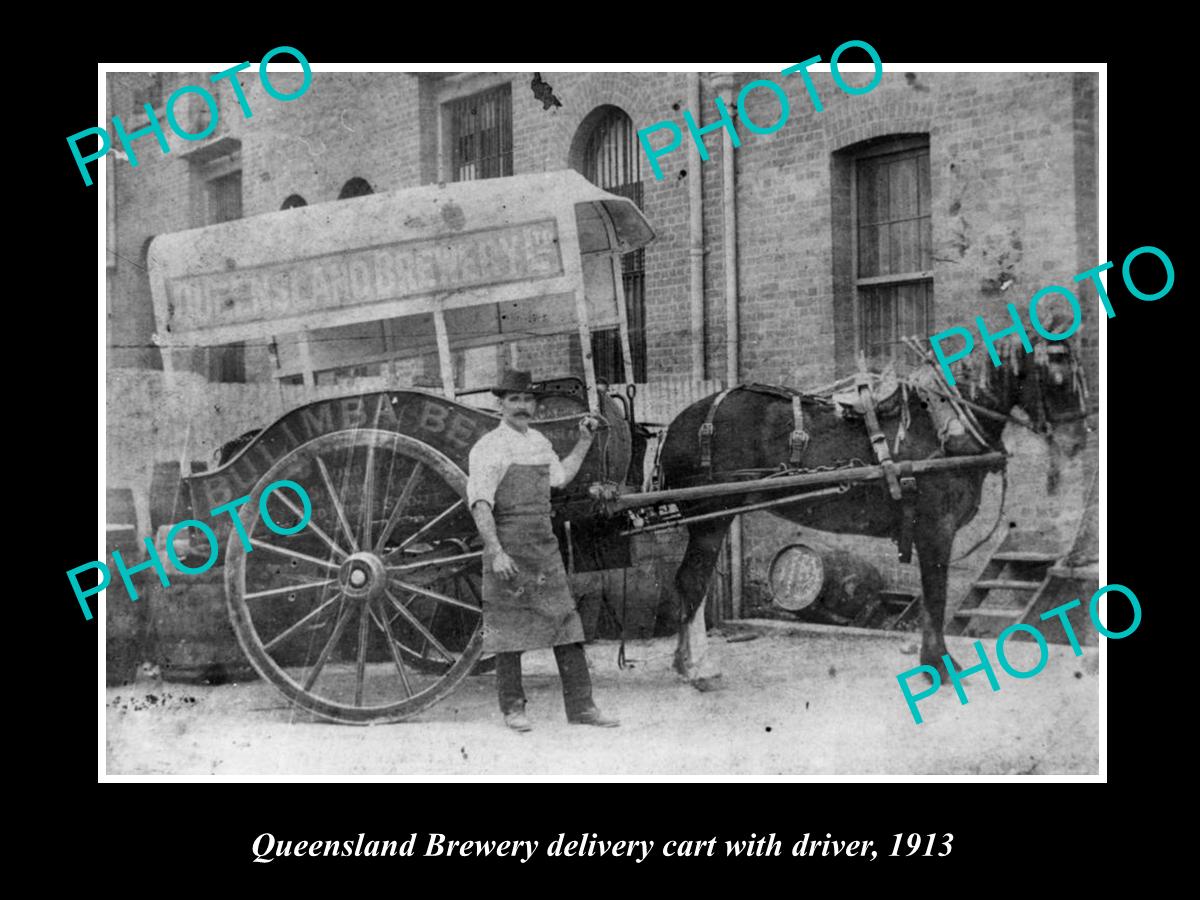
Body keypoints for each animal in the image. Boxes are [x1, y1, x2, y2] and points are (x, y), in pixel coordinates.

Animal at [662, 336, 1094, 696]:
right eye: (1058, 375)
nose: (1080, 440)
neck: (944, 424)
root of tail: (678, 423)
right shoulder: (935, 530)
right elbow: (935, 597)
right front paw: (938, 666)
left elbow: (931, 598)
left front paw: (936, 663)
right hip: (711, 518)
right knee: (692, 584)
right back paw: (699, 667)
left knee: (690, 586)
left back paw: (686, 664)